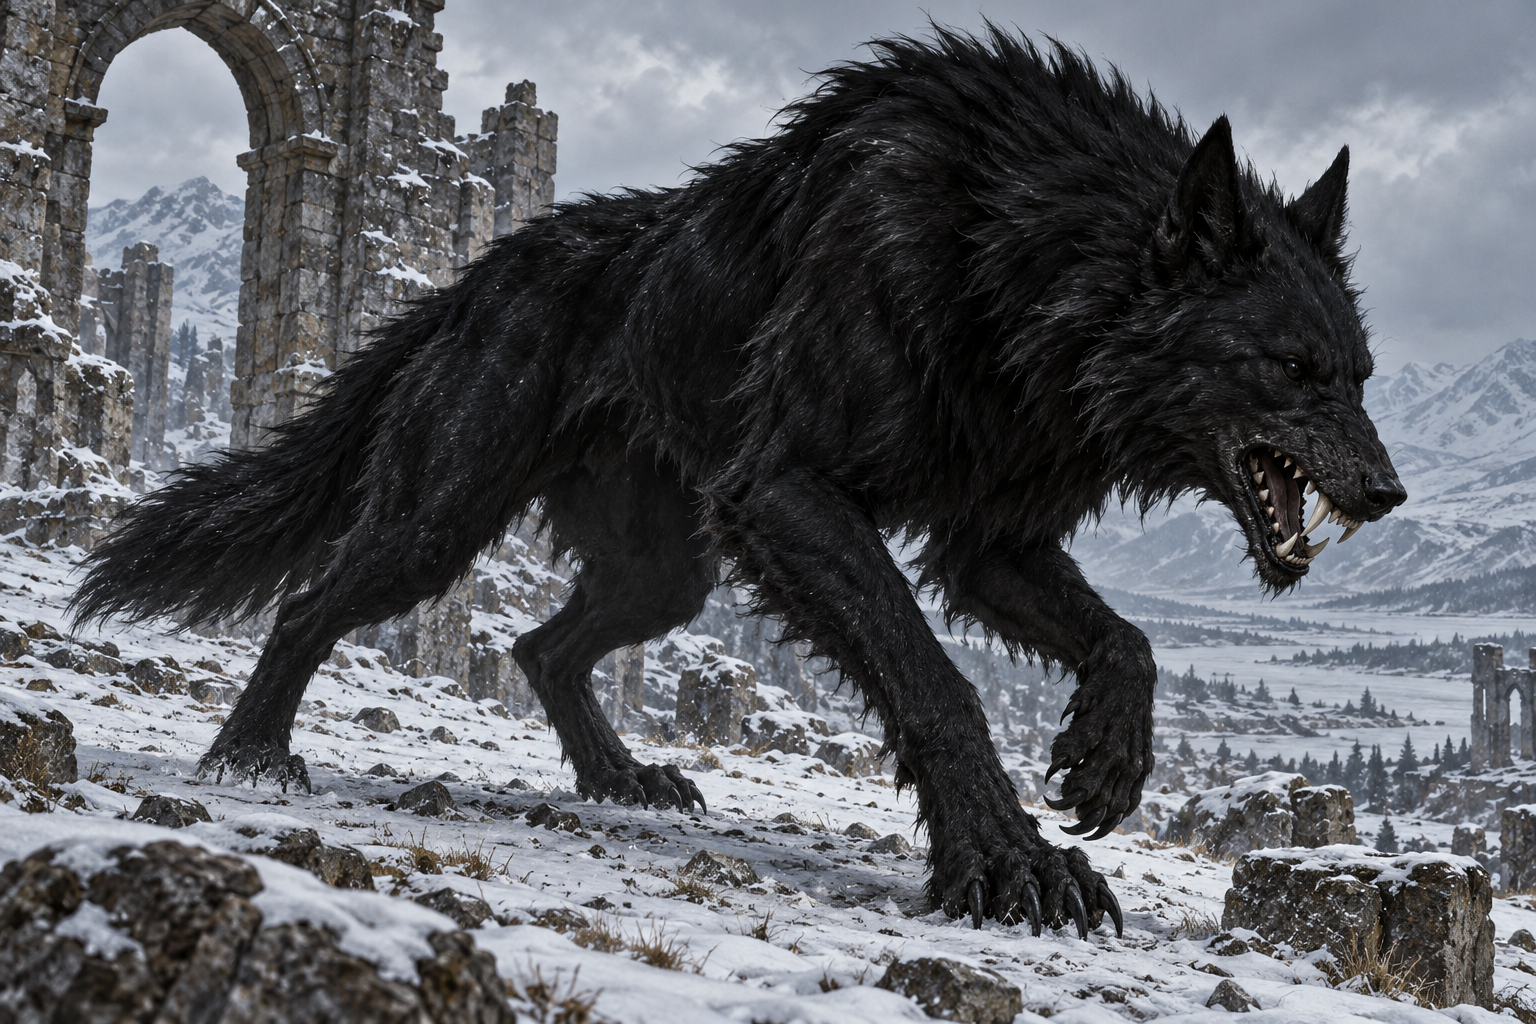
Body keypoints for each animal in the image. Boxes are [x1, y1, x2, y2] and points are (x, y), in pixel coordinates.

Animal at [72, 26, 1405, 936]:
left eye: (1361, 372)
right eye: (1291, 368)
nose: (1389, 495)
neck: (1020, 258)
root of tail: (484, 268)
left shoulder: (991, 543)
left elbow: (1127, 640)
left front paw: (1107, 759)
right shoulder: (791, 494)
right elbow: (934, 684)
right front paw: (1007, 862)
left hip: (665, 574)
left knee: (543, 648)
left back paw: (620, 778)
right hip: (440, 523)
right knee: (312, 602)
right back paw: (251, 754)